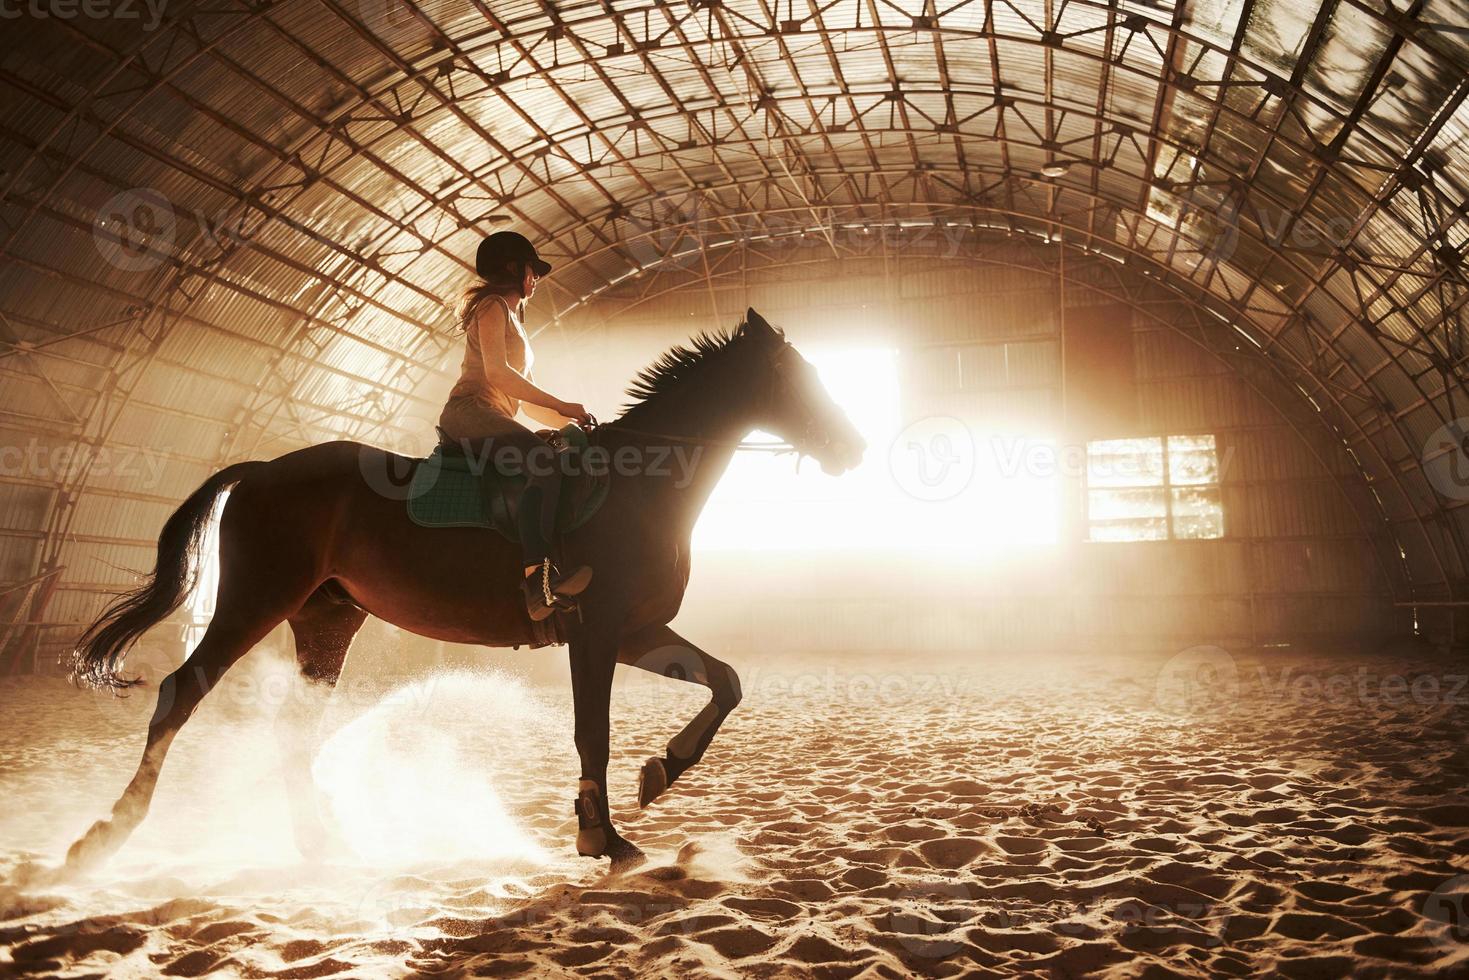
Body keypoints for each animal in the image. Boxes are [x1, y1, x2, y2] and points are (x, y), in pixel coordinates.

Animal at [60, 308, 857, 875]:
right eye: (796, 378)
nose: (855, 448)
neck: (641, 487)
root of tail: (262, 469)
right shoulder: (596, 632)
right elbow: (591, 732)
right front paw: (604, 838)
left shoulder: (634, 632)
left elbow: (726, 682)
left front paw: (659, 773)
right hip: (256, 601)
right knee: (180, 694)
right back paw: (99, 840)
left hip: (326, 621)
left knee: (292, 729)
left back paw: (326, 846)